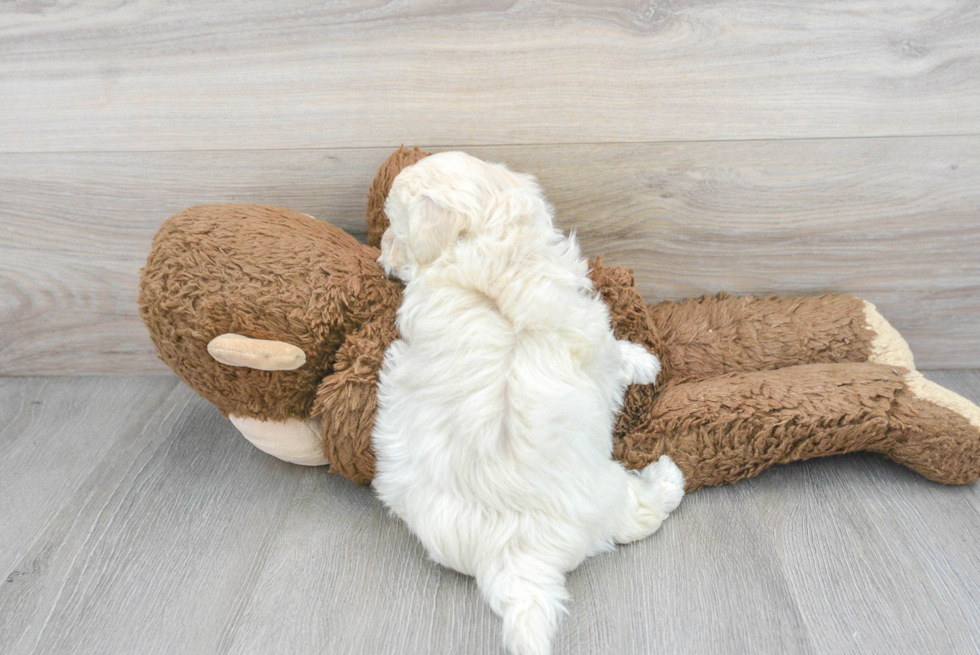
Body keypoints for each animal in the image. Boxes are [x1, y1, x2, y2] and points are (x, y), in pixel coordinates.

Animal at [372, 152, 684, 655]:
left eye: (394, 231)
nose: (380, 251)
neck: (487, 252)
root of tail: (516, 558)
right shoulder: (593, 333)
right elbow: (617, 353)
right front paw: (645, 360)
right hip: (608, 492)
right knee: (640, 517)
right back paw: (668, 479)